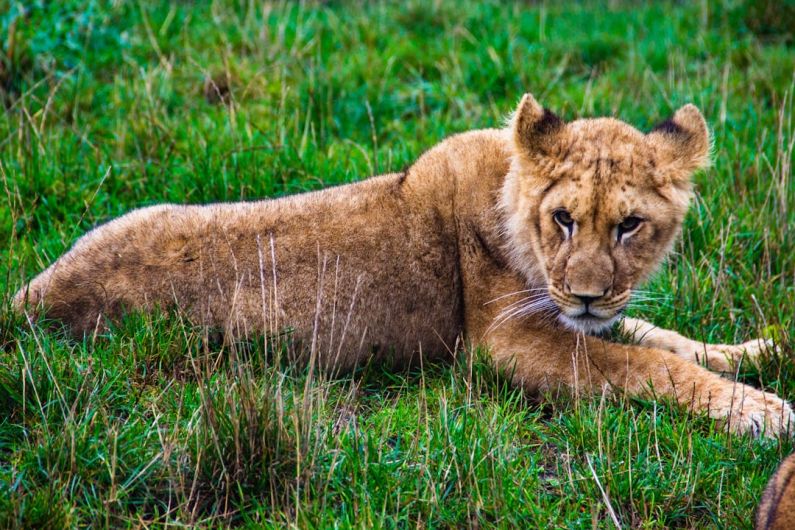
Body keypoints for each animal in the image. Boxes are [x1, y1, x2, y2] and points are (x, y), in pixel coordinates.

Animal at [12, 93, 793, 436]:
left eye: (630, 225)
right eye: (564, 219)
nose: (587, 296)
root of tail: (29, 297)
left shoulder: (571, 318)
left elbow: (667, 341)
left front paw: (762, 351)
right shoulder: (507, 343)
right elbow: (644, 364)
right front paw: (759, 411)